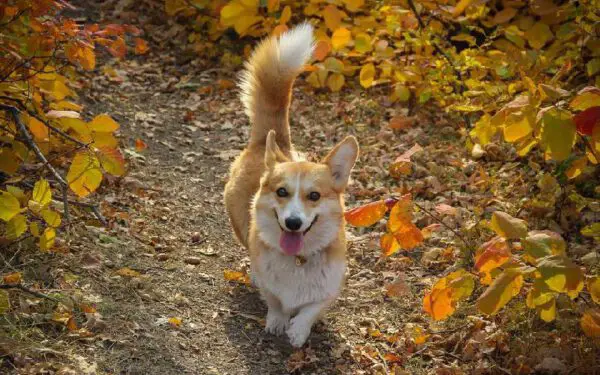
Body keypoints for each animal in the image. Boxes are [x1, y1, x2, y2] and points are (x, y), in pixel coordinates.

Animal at [223, 22, 358, 348]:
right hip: (238, 222)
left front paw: (298, 330)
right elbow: (274, 300)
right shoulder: (271, 286)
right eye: (282, 192)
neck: (298, 259)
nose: (293, 223)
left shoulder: (329, 289)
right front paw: (278, 321)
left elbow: (311, 308)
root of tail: (270, 142)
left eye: (314, 196)